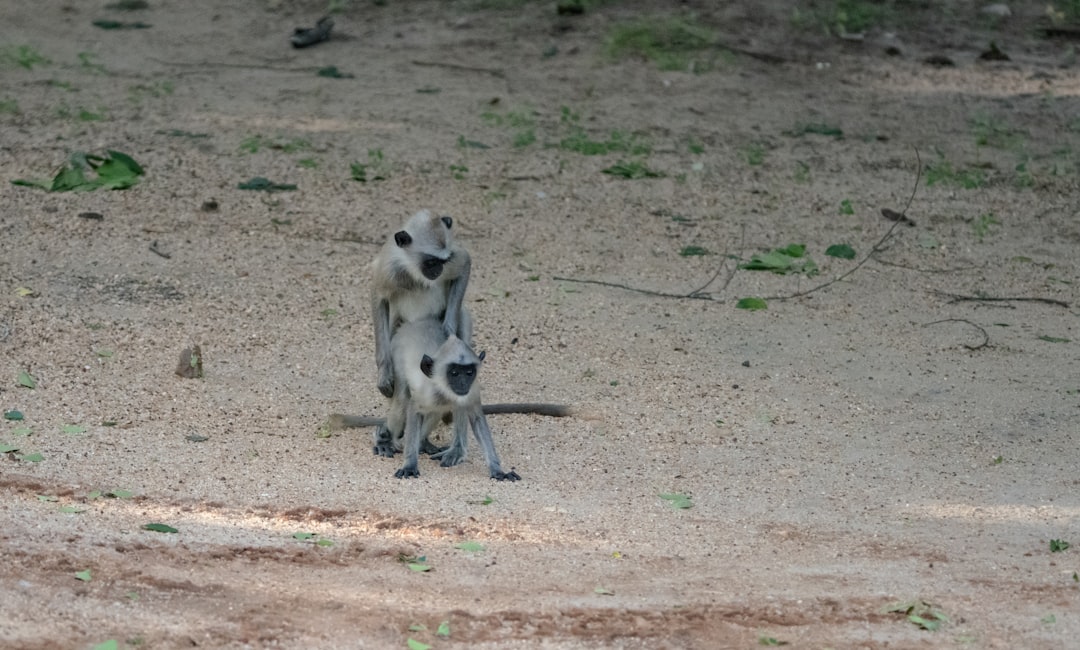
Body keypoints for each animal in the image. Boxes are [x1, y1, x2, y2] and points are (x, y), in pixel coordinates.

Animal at [369, 211, 470, 455]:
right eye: (431, 262)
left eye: (442, 261)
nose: (438, 271)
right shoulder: (389, 267)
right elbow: (378, 295)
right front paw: (383, 373)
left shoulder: (453, 258)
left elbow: (464, 264)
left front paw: (448, 329)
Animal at [380, 315, 518, 477]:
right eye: (454, 373)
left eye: (469, 373)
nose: (463, 383)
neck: (445, 390)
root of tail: (412, 324)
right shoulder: (425, 394)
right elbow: (414, 410)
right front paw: (409, 464)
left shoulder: (472, 391)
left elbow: (476, 417)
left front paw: (497, 470)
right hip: (397, 354)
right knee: (402, 401)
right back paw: (384, 438)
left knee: (446, 409)